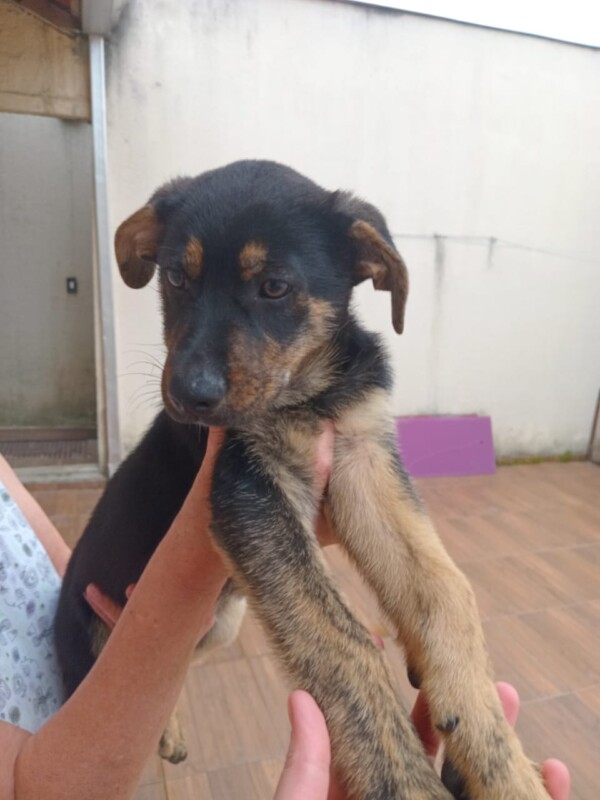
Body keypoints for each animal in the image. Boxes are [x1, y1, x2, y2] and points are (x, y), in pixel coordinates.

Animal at [56, 162, 548, 800]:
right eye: (176, 278)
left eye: (274, 287)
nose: (189, 396)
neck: (310, 394)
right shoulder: (249, 488)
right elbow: (346, 644)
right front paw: (403, 779)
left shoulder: (363, 459)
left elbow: (444, 590)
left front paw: (500, 758)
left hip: (220, 623)